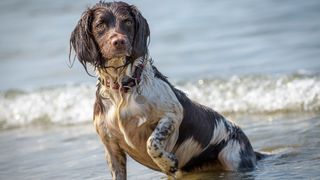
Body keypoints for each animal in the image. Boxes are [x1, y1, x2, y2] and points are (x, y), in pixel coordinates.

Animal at [69, 1, 264, 179]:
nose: (119, 41)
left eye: (128, 22)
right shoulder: (111, 146)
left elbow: (152, 142)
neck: (122, 89)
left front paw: (168, 162)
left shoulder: (173, 114)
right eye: (100, 25)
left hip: (232, 156)